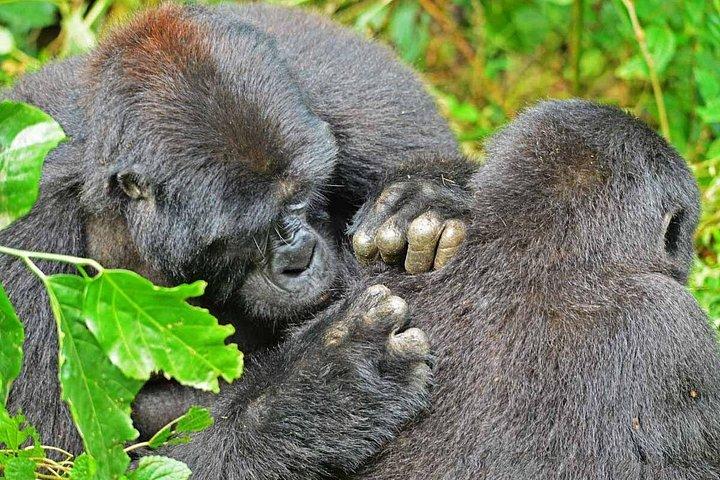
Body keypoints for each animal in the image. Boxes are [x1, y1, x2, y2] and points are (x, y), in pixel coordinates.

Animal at [1, 3, 476, 477]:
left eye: (302, 195)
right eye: (253, 229)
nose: (301, 258)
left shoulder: (342, 93)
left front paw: (424, 197)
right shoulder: (25, 233)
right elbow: (62, 457)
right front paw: (327, 385)